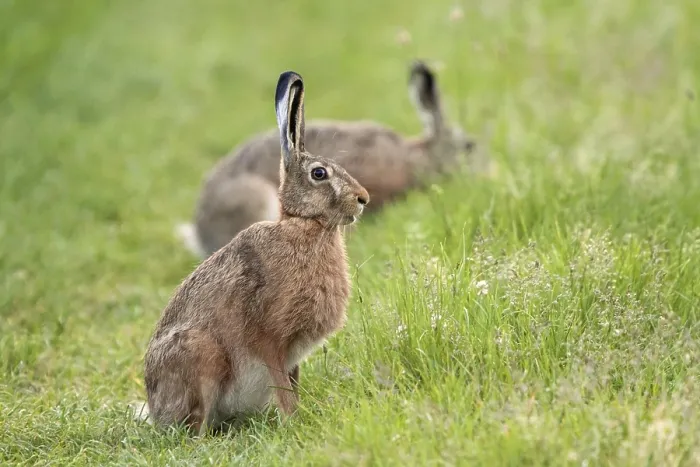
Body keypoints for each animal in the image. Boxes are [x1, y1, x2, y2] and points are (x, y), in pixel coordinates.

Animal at [142, 70, 370, 435]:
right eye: (319, 174)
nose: (364, 198)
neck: (303, 224)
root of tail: (155, 409)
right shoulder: (270, 338)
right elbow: (283, 387)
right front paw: (295, 423)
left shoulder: (293, 355)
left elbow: (292, 383)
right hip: (199, 354)